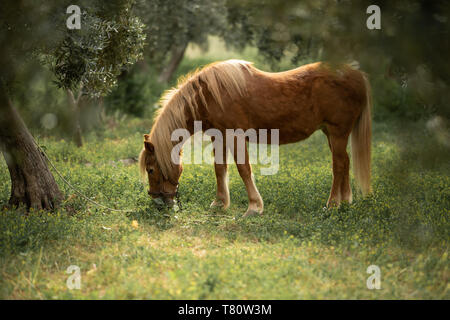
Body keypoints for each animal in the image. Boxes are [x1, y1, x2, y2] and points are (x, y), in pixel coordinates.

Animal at [139, 58, 370, 216]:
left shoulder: (236, 136)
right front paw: (220, 203)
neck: (210, 95)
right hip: (331, 134)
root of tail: (356, 75)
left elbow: (244, 169)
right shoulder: (219, 137)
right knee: (345, 162)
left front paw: (254, 207)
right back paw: (345, 202)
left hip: (337, 133)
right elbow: (220, 168)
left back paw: (332, 205)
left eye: (151, 169)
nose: (157, 201)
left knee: (338, 166)